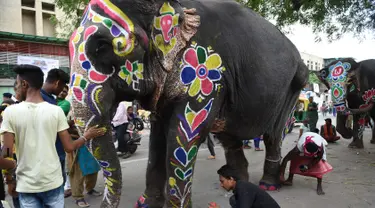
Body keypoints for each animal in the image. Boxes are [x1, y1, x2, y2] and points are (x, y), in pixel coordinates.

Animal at [69, 0, 310, 206]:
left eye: (102, 47)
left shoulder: (209, 76)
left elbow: (183, 137)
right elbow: (157, 138)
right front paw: (146, 204)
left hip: (293, 88)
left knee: (273, 136)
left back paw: (268, 185)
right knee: (229, 138)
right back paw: (242, 180)